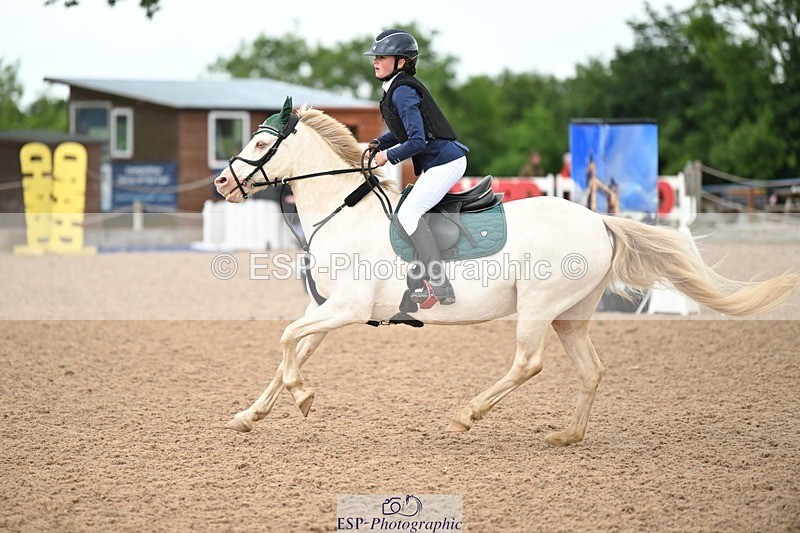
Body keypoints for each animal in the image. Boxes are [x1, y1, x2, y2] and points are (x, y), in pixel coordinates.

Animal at [213, 101, 799, 446]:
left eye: (262, 144)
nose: (221, 184)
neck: (343, 211)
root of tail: (599, 220)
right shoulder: (326, 309)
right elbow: (289, 350)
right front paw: (250, 415)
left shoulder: (347, 309)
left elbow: (287, 344)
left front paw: (303, 397)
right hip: (570, 315)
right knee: (591, 370)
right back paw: (567, 436)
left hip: (538, 306)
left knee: (528, 363)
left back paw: (466, 415)